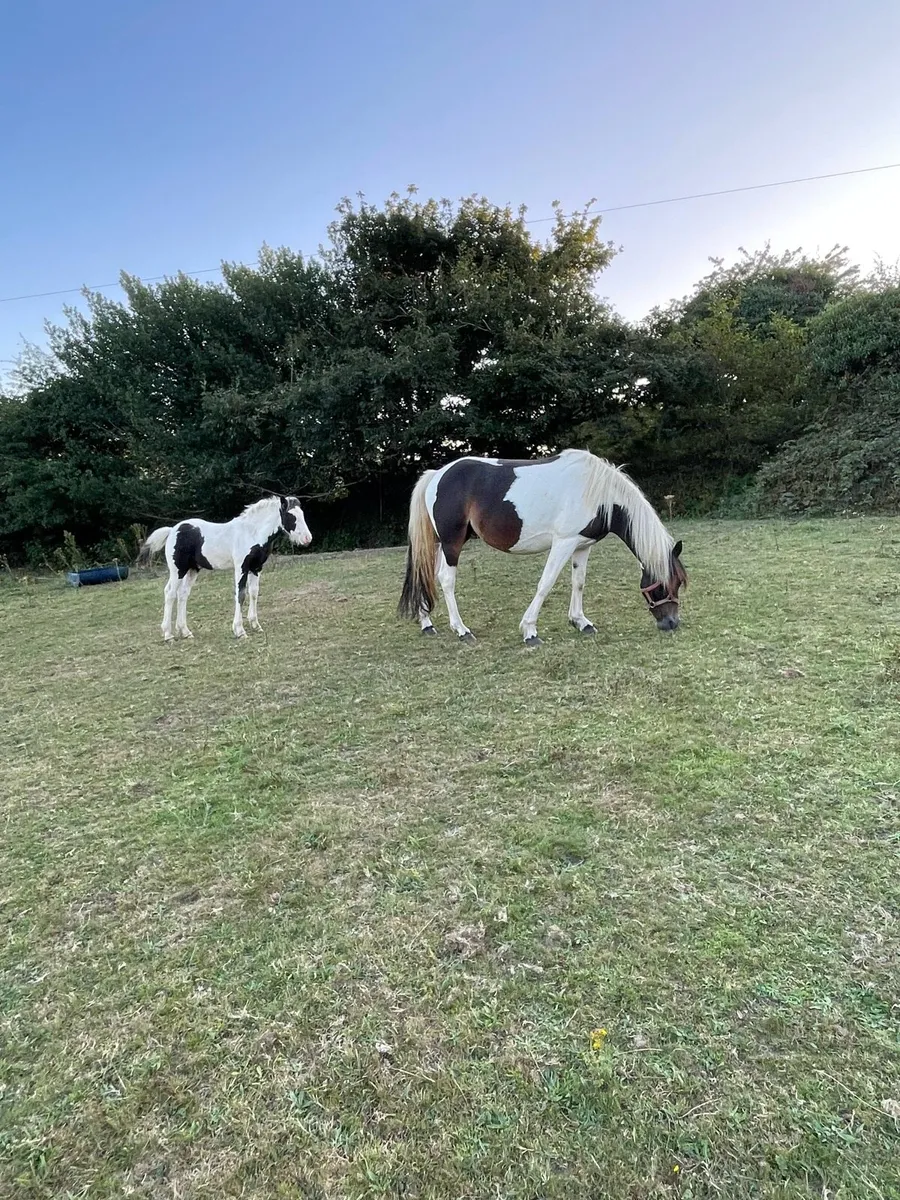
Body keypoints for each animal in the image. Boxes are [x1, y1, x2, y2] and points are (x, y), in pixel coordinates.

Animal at [138, 495, 312, 641]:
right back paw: (168, 634)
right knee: (170, 593)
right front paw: (239, 631)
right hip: (178, 570)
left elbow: (254, 593)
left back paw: (185, 632)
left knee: (183, 594)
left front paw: (255, 625)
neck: (251, 532)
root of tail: (172, 530)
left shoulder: (256, 568)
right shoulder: (241, 567)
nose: (307, 538)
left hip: (193, 569)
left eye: (303, 514)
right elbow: (240, 595)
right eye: (291, 516)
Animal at [398, 449, 686, 646]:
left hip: (440, 544)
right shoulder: (564, 543)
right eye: (665, 584)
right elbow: (545, 583)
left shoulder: (582, 545)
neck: (599, 493)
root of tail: (436, 475)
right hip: (452, 543)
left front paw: (581, 622)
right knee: (446, 580)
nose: (671, 623)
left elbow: (578, 582)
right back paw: (462, 630)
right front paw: (530, 631)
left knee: (427, 576)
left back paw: (427, 624)